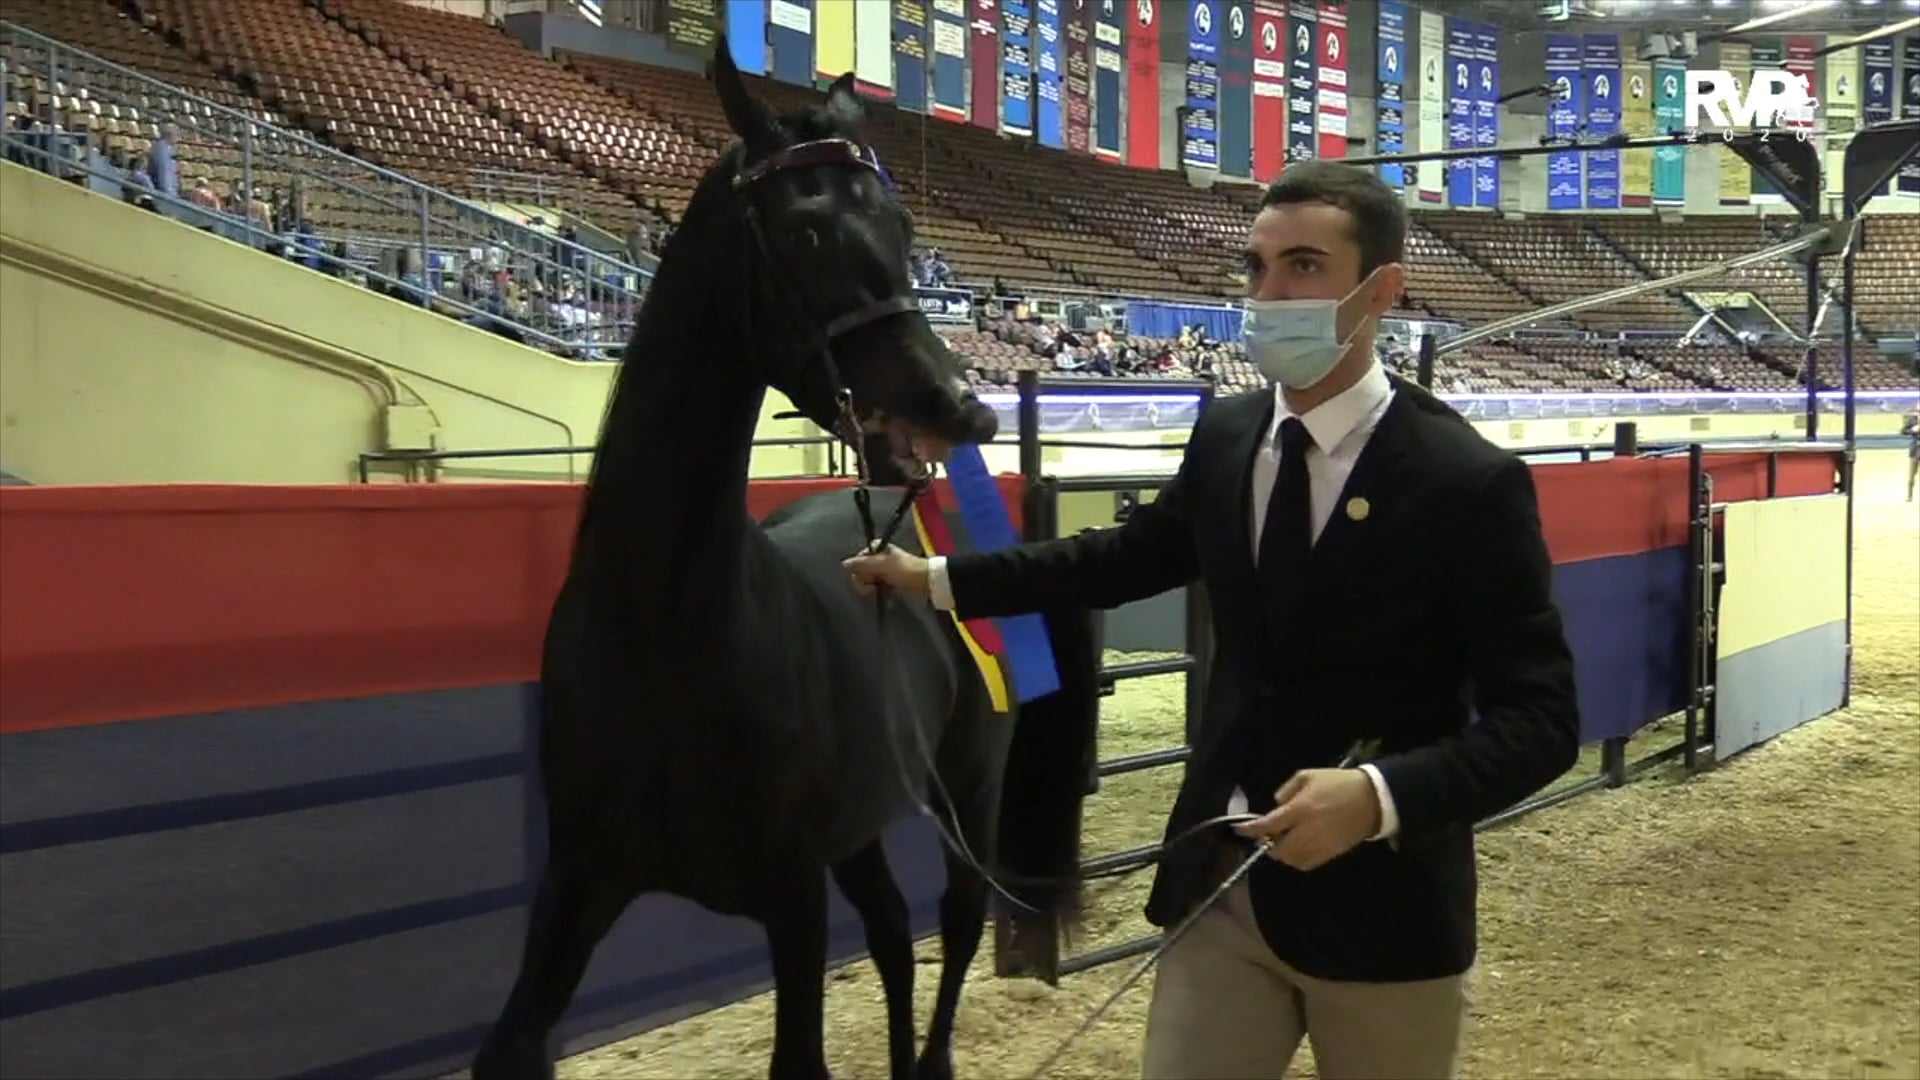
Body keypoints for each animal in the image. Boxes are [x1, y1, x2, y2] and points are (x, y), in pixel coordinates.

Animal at [470, 37, 1095, 1080]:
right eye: (803, 236)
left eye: (902, 222)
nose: (960, 409)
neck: (665, 633)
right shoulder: (578, 887)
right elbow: (508, 1042)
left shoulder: (792, 904)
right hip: (863, 825)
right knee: (890, 936)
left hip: (966, 786)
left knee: (958, 920)